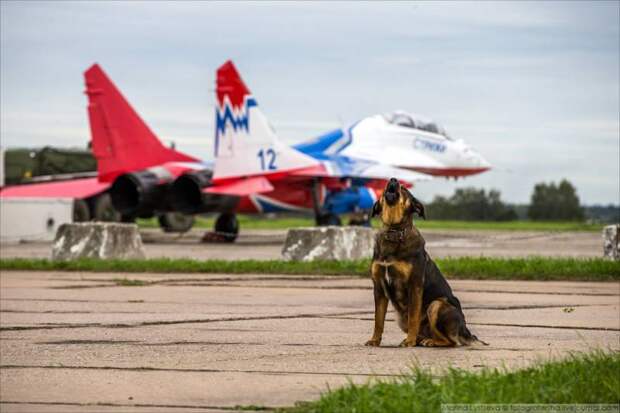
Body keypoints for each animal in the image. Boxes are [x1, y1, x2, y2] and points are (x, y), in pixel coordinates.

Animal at [364, 177, 484, 348]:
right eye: (387, 185)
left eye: (404, 189)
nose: (393, 180)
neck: (393, 232)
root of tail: (466, 332)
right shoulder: (379, 288)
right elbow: (378, 320)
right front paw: (375, 340)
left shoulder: (414, 285)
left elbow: (413, 317)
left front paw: (409, 342)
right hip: (401, 318)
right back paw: (421, 340)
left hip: (436, 305)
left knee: (451, 341)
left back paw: (428, 341)